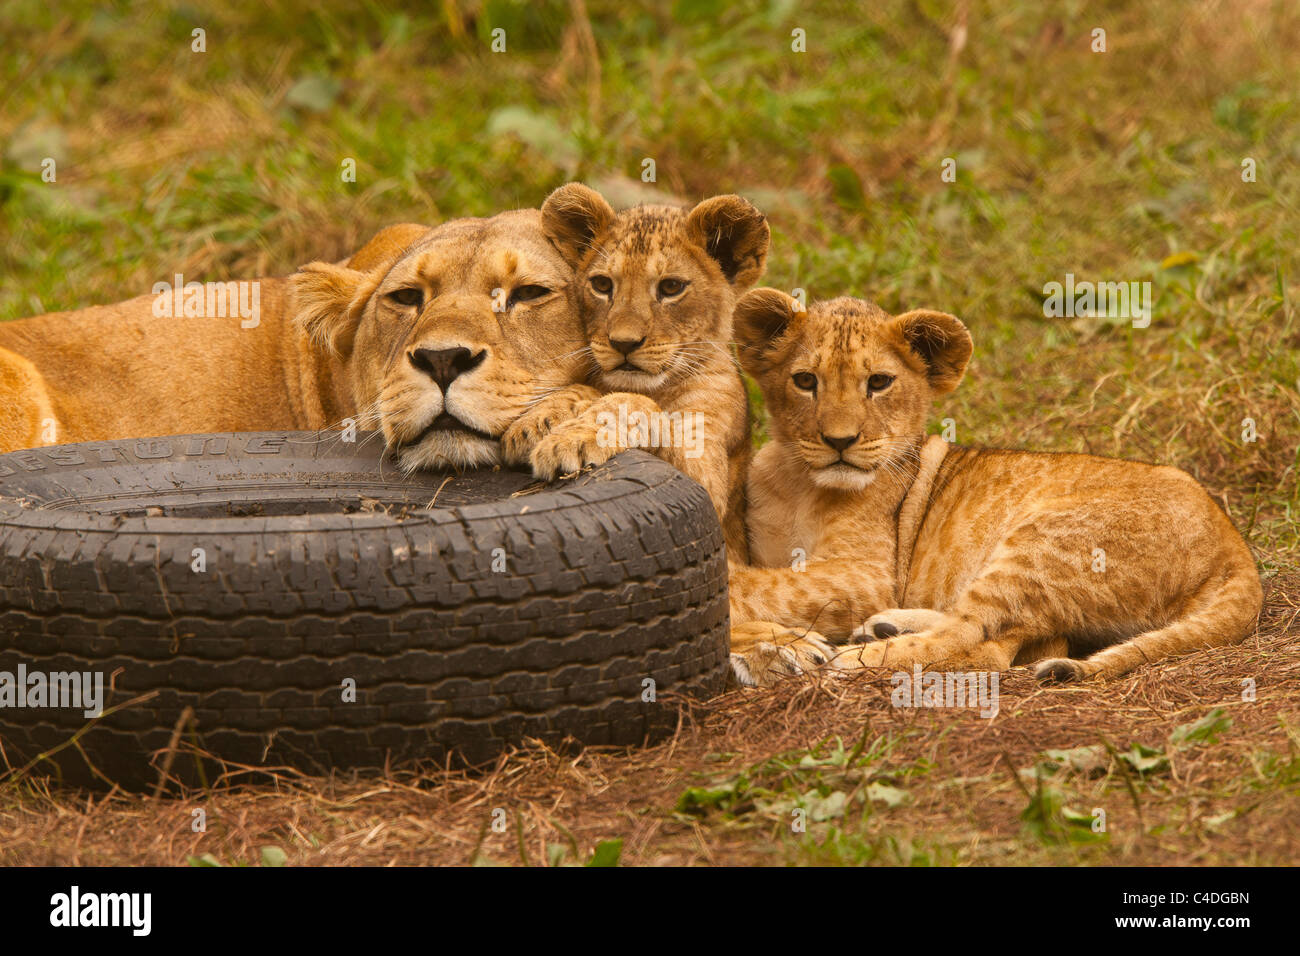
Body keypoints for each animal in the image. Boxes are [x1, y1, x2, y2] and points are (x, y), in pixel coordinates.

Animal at [500, 182, 769, 560]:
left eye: (671, 287)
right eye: (602, 285)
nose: (623, 343)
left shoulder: (705, 490)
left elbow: (639, 406)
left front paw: (567, 441)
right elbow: (594, 390)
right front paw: (536, 423)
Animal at [726, 290, 1263, 684]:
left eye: (878, 382)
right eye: (805, 381)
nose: (839, 441)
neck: (800, 482)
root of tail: (1232, 542)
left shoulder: (865, 575)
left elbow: (772, 586)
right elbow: (774, 581)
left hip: (1041, 545)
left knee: (981, 643)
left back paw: (856, 656)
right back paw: (884, 626)